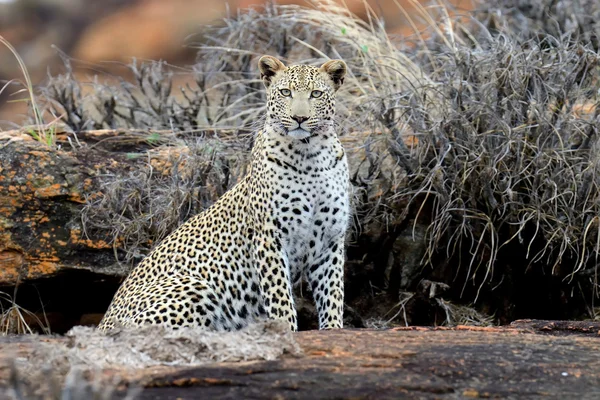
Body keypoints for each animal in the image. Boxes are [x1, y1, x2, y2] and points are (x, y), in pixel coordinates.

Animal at [97, 55, 352, 332]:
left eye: (316, 94)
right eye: (286, 92)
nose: (299, 118)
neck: (311, 155)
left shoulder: (330, 239)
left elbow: (333, 294)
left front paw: (333, 330)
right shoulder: (269, 237)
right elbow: (280, 297)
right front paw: (285, 331)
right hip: (194, 287)